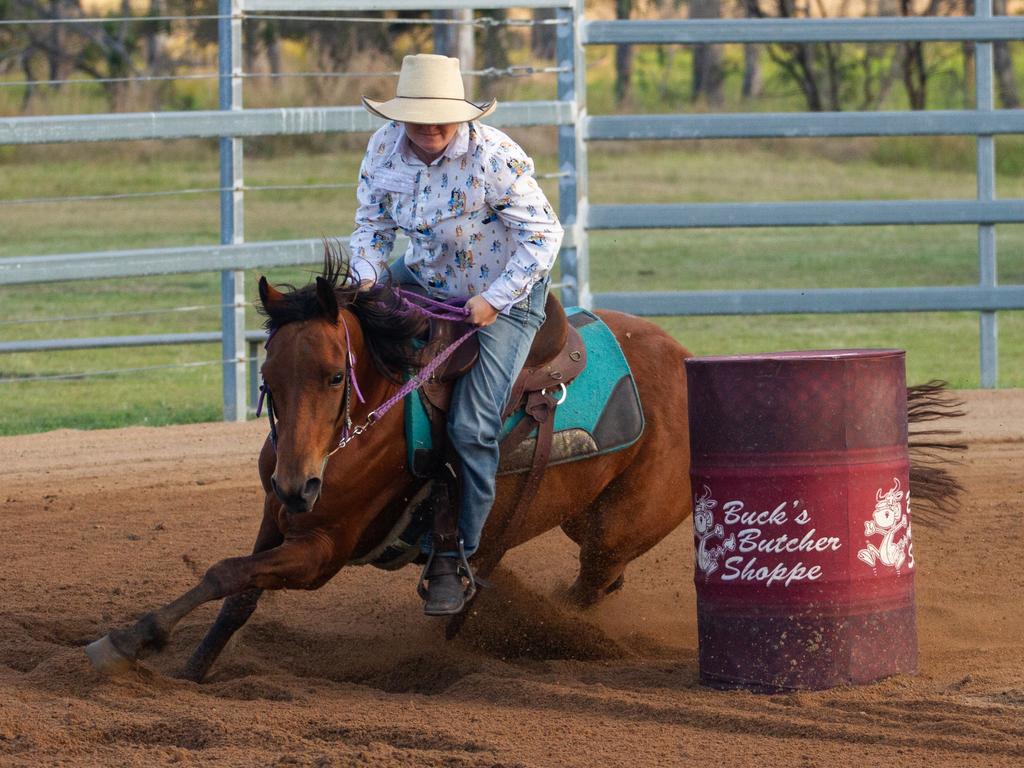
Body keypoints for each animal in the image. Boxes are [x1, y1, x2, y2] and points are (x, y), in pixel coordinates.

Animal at [83, 249, 962, 684]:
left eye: (334, 376)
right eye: (267, 375)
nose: (301, 481)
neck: (367, 422)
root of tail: (684, 360)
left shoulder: (324, 551)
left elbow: (228, 574)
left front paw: (129, 640)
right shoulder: (279, 519)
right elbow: (235, 590)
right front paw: (193, 666)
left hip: (618, 527)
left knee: (590, 589)